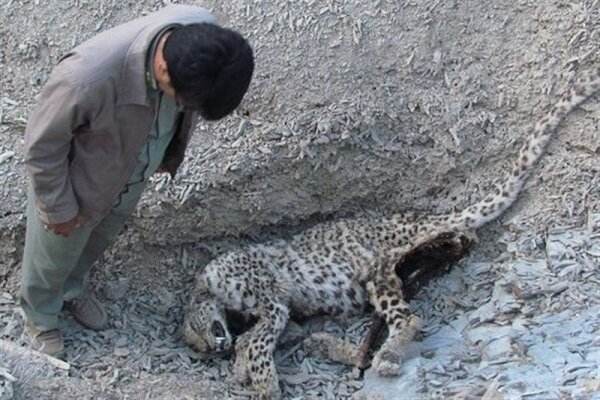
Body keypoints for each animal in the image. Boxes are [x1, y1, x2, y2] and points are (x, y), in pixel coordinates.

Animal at [183, 67, 600, 398]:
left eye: (196, 332)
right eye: (199, 349)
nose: (215, 346)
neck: (214, 291)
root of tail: (421, 216)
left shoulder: (271, 302)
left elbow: (257, 340)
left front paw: (261, 380)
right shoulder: (276, 310)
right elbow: (256, 337)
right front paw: (243, 367)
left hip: (380, 269)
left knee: (407, 319)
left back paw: (386, 357)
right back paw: (328, 345)